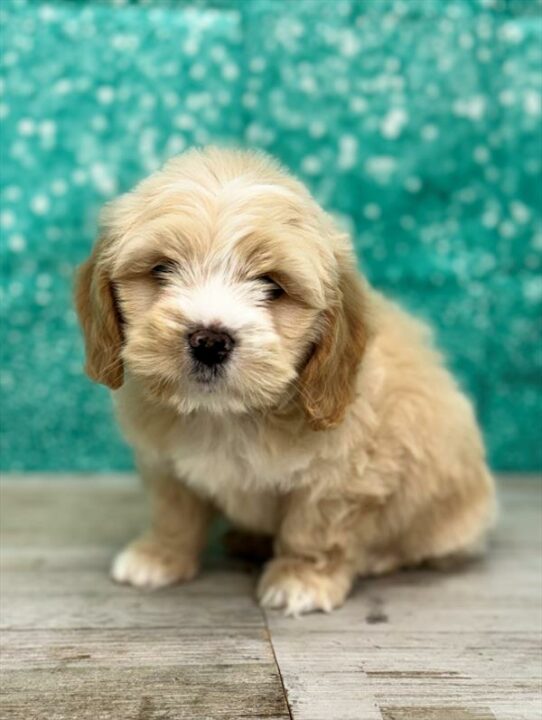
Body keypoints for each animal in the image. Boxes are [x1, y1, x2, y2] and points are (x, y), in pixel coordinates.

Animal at [75, 146, 498, 612]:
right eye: (162, 269)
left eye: (272, 286)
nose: (210, 341)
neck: (226, 415)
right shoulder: (165, 463)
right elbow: (174, 511)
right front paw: (159, 555)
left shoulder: (342, 475)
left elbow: (313, 529)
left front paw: (303, 578)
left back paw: (378, 557)